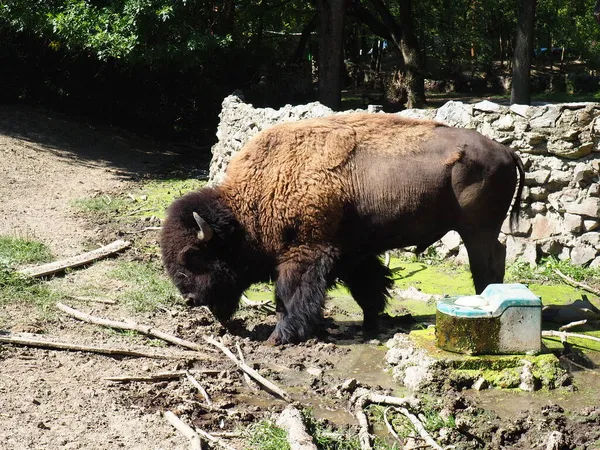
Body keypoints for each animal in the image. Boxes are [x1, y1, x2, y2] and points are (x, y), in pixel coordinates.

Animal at [162, 112, 524, 344]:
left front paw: (280, 337)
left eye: (195, 256)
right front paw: (370, 324)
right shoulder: (353, 253)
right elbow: (369, 287)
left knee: (487, 263)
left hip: (477, 230)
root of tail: (505, 149)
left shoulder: (306, 252)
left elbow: (290, 294)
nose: (191, 300)